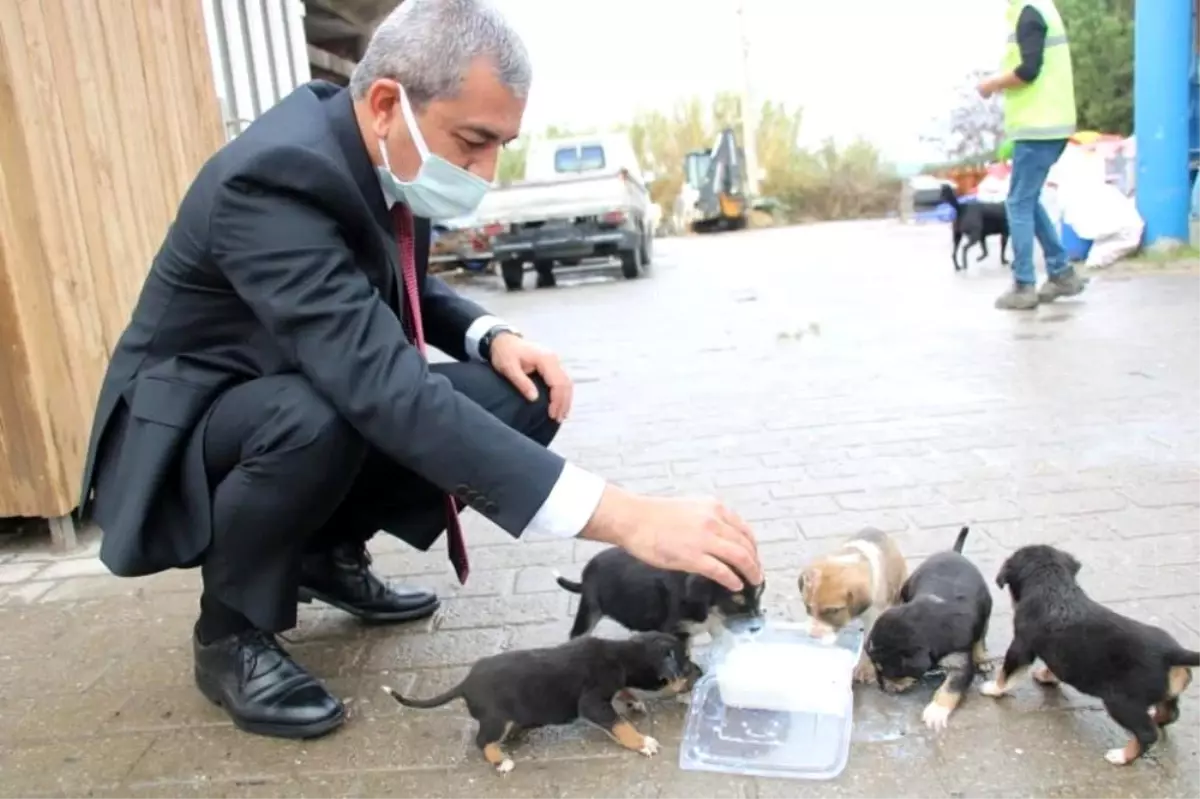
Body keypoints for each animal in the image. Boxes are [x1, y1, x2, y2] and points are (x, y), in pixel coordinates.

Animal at [384, 628, 686, 772]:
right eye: (685, 666)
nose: (696, 670)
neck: (622, 654)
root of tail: (466, 683)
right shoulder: (592, 703)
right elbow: (620, 724)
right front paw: (643, 742)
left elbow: (624, 694)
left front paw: (633, 701)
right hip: (496, 719)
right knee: (482, 741)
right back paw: (500, 761)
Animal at [801, 527, 902, 676]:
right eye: (808, 607)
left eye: (833, 610)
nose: (813, 636)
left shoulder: (873, 616)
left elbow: (869, 641)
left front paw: (864, 667)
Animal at [868, 525, 988, 729]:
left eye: (886, 670)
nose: (881, 687)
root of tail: (954, 552)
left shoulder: (960, 661)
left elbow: (951, 688)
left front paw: (936, 712)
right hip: (907, 587)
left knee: (982, 635)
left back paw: (982, 657)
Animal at [979, 544, 1200, 763]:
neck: (1054, 587)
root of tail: (1172, 652)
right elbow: (1054, 667)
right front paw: (1045, 676)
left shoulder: (1021, 646)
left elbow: (1006, 672)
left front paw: (994, 689)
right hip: (1165, 694)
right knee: (1170, 714)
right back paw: (1153, 718)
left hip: (1122, 702)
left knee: (1147, 733)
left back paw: (1122, 756)